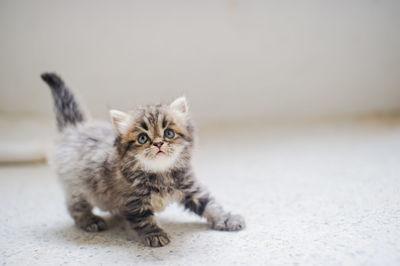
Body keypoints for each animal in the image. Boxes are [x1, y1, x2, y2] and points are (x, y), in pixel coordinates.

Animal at [42, 73, 245, 247]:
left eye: (168, 133)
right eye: (142, 138)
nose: (158, 143)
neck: (160, 173)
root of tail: (75, 127)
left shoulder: (190, 188)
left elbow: (210, 205)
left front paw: (227, 218)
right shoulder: (134, 201)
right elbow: (144, 220)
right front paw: (155, 234)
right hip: (77, 187)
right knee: (74, 206)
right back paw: (89, 220)